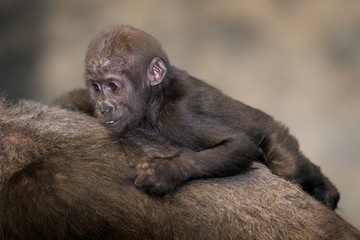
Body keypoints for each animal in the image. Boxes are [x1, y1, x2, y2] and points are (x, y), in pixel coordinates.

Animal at [56, 23, 340, 208]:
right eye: (96, 88)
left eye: (114, 86)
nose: (104, 107)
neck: (156, 96)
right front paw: (68, 102)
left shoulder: (178, 115)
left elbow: (238, 144)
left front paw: (167, 170)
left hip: (277, 132)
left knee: (288, 167)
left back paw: (327, 192)